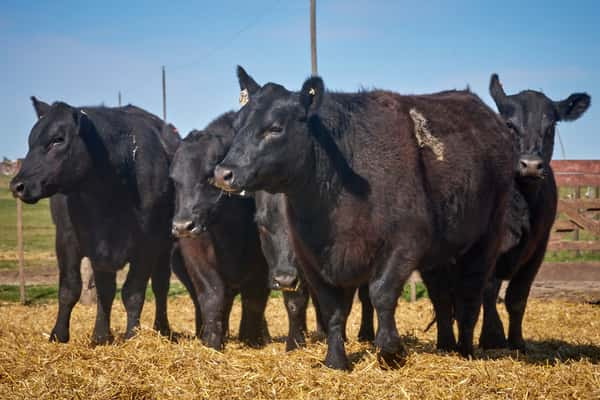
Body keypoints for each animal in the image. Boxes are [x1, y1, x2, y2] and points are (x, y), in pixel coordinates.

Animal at [10, 97, 178, 344]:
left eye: (57, 140)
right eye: (30, 141)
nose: (17, 185)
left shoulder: (147, 244)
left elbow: (133, 292)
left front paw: (132, 336)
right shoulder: (67, 239)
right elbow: (71, 289)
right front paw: (62, 335)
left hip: (166, 245)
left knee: (160, 285)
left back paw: (163, 329)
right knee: (106, 289)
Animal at [214, 66, 516, 368]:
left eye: (275, 128)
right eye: (237, 126)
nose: (223, 173)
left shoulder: (406, 241)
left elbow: (381, 293)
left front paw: (390, 350)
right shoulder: (313, 258)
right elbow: (333, 309)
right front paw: (336, 360)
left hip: (486, 236)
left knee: (470, 294)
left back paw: (465, 351)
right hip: (441, 253)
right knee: (442, 297)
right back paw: (446, 345)